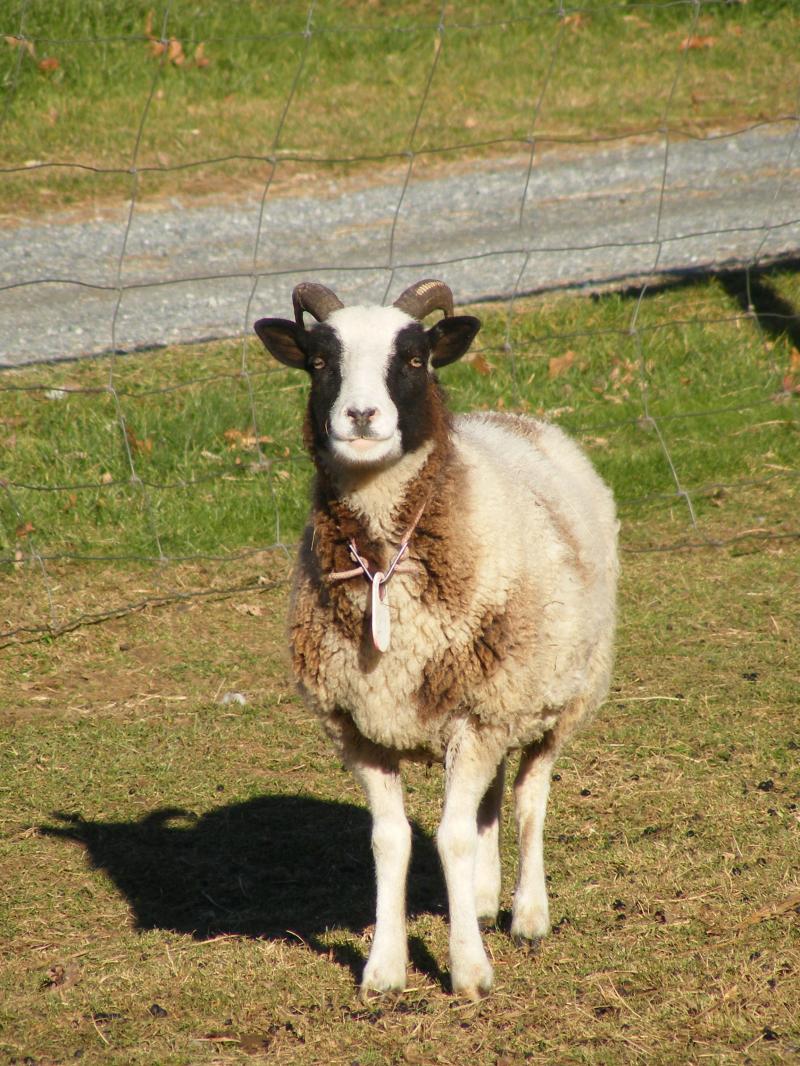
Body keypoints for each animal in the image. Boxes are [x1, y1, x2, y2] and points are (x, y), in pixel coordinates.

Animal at [253, 279, 619, 1001]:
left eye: (415, 359)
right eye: (318, 362)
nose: (361, 416)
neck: (384, 564)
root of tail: (516, 418)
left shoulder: (479, 715)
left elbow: (450, 837)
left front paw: (470, 972)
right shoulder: (358, 727)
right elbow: (392, 841)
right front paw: (383, 971)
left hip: (557, 694)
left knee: (530, 795)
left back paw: (527, 913)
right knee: (491, 803)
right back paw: (479, 898)